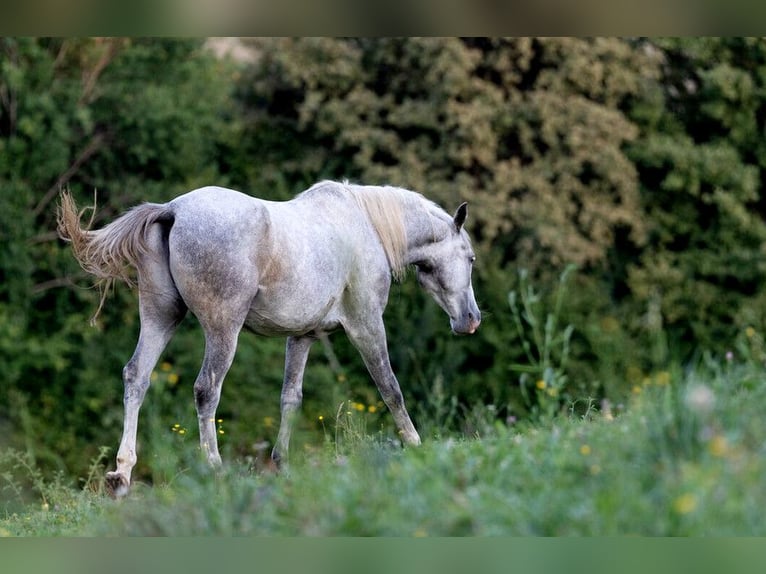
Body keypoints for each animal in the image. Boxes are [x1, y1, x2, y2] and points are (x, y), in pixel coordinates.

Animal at [58, 181, 480, 500]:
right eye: (471, 258)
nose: (471, 320)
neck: (366, 226)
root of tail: (172, 210)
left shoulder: (302, 336)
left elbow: (290, 399)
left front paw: (282, 464)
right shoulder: (366, 324)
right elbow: (390, 388)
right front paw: (416, 445)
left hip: (161, 317)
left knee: (137, 378)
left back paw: (121, 475)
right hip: (222, 329)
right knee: (206, 389)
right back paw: (215, 471)